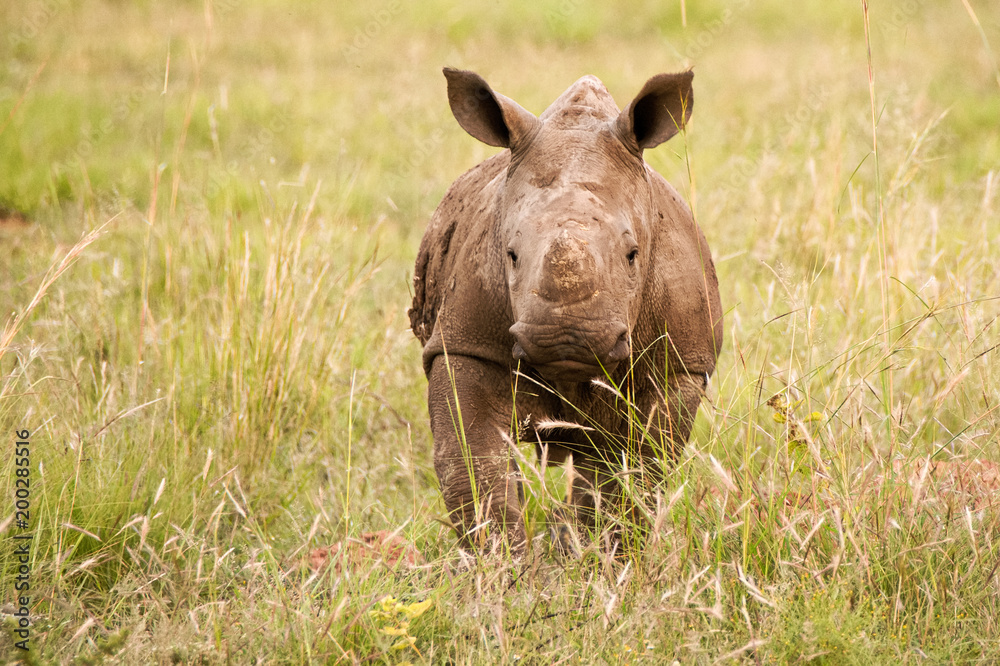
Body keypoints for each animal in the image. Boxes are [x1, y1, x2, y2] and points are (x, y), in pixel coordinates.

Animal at [409, 68, 723, 554]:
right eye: (511, 254)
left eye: (633, 254)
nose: (567, 341)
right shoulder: (464, 344)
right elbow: (473, 469)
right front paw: (503, 566)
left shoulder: (679, 364)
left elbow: (638, 469)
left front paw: (608, 558)